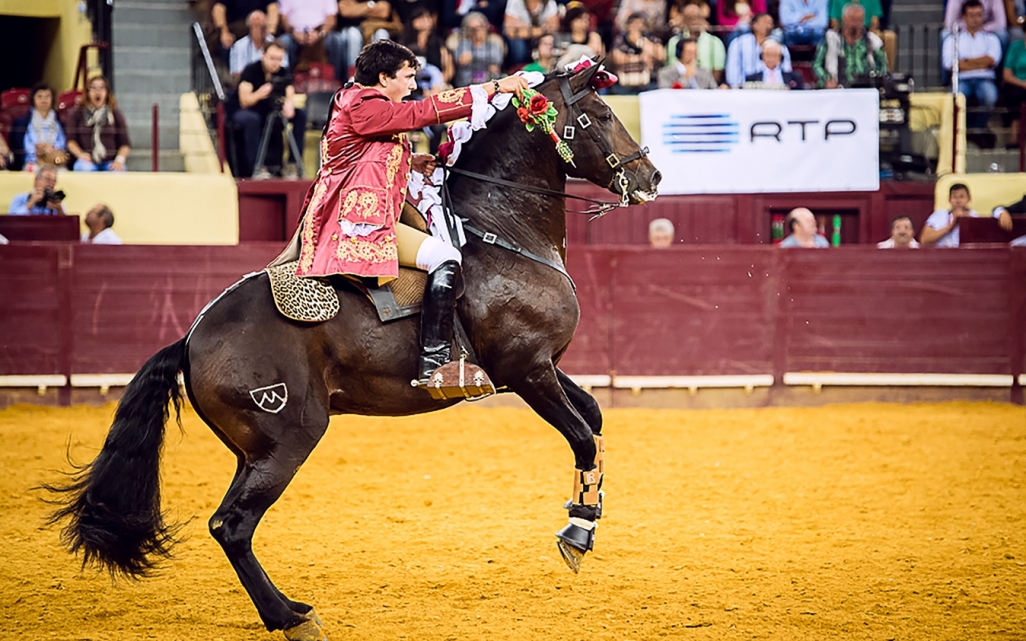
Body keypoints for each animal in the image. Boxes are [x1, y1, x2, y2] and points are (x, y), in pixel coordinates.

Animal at [48, 65, 656, 639]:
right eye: (602, 113)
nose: (651, 176)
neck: (501, 231)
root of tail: (193, 335)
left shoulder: (537, 366)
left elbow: (594, 420)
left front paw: (586, 513)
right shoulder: (526, 368)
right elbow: (582, 435)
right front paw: (578, 531)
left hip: (254, 450)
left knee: (230, 524)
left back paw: (289, 610)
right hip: (290, 438)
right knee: (232, 525)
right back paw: (290, 617)